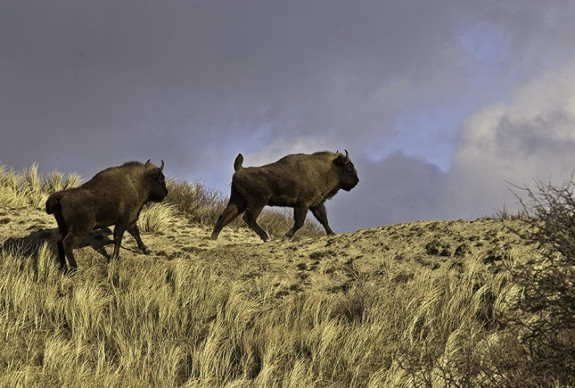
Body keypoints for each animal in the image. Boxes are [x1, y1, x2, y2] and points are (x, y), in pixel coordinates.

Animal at [212, 150, 360, 241]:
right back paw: (266, 237)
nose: (357, 181)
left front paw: (332, 233)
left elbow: (324, 220)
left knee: (224, 217)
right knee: (248, 217)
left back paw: (213, 238)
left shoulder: (316, 205)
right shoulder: (302, 205)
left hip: (238, 201)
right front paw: (287, 236)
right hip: (258, 201)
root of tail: (240, 169)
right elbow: (299, 222)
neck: (325, 169)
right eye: (349, 166)